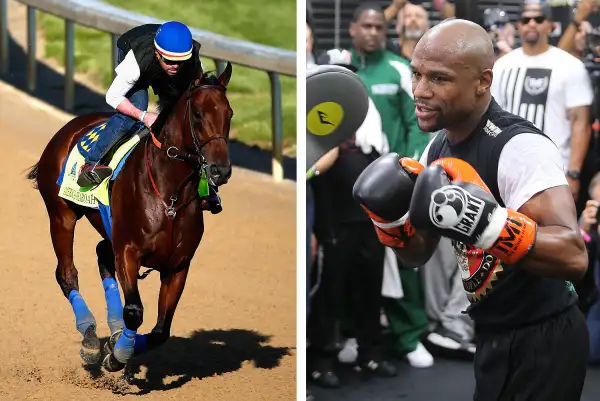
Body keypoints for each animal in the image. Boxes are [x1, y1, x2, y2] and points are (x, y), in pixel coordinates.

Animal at [24, 63, 234, 372]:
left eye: (229, 114)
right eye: (197, 114)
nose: (220, 170)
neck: (169, 196)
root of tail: (69, 128)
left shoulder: (178, 265)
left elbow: (160, 331)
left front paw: (118, 345)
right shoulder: (128, 251)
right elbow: (134, 311)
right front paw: (117, 356)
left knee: (102, 255)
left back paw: (111, 332)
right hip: (61, 215)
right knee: (67, 274)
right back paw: (89, 337)